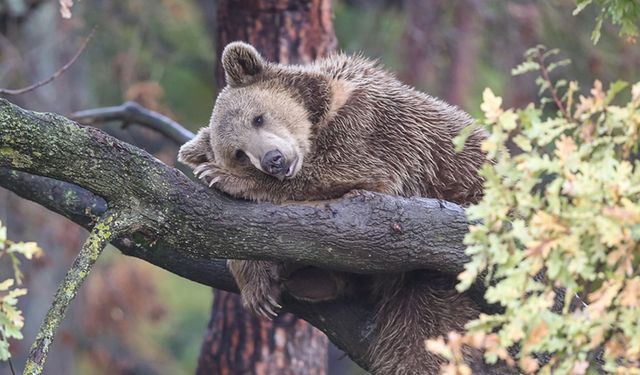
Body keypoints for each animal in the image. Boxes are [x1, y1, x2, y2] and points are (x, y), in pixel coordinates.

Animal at [178, 41, 508, 375]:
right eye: (239, 153)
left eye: (258, 118)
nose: (274, 160)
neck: (320, 115)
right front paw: (258, 286)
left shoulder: (375, 129)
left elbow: (344, 172)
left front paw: (221, 177)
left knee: (422, 327)